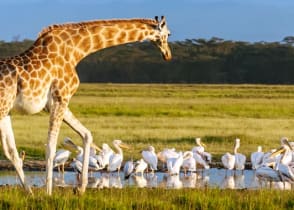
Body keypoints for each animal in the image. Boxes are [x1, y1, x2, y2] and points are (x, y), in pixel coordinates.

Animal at [0, 15, 172, 194]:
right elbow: (51, 147)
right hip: (2, 108)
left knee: (10, 152)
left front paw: (81, 188)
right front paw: (48, 192)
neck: (76, 50)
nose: (168, 55)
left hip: (6, 112)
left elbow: (87, 134)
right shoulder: (61, 97)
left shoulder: (54, 103)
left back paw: (29, 192)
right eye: (169, 34)